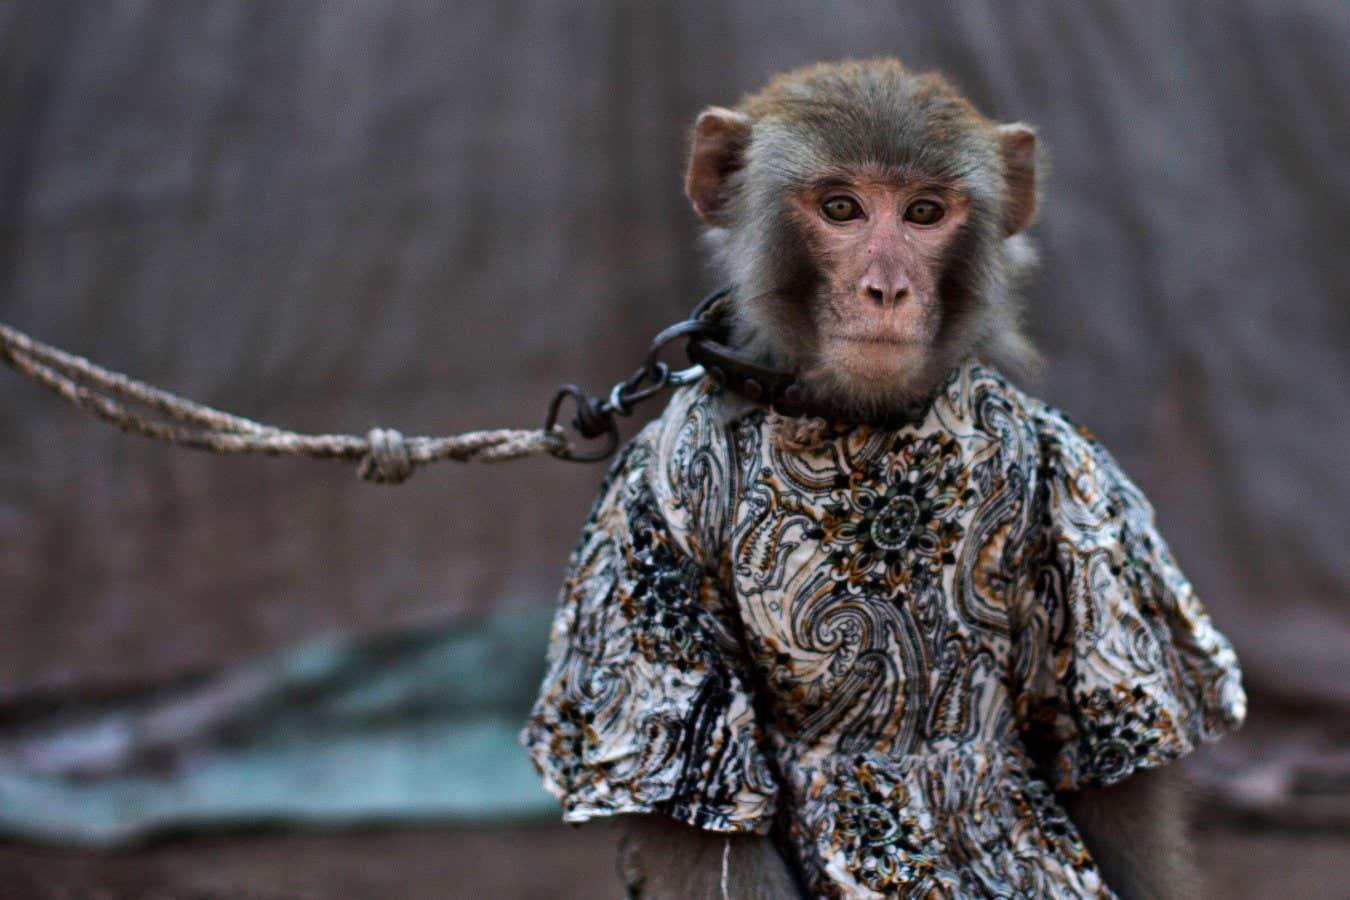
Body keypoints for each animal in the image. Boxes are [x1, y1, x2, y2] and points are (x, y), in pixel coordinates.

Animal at [522, 59, 1245, 899]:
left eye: (924, 213)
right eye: (842, 208)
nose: (888, 288)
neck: (856, 422)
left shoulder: (1085, 490)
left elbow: (1118, 786)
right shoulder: (642, 525)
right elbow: (703, 824)